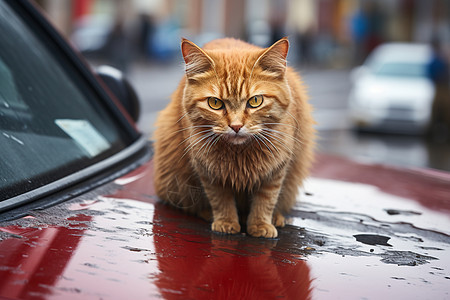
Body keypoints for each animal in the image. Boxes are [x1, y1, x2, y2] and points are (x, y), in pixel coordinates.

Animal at [153, 37, 314, 238]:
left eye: (255, 101)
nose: (236, 126)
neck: (240, 155)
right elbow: (220, 199)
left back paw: (276, 217)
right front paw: (226, 222)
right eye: (215, 103)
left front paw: (260, 224)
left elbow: (266, 199)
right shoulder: (208, 171)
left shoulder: (276, 169)